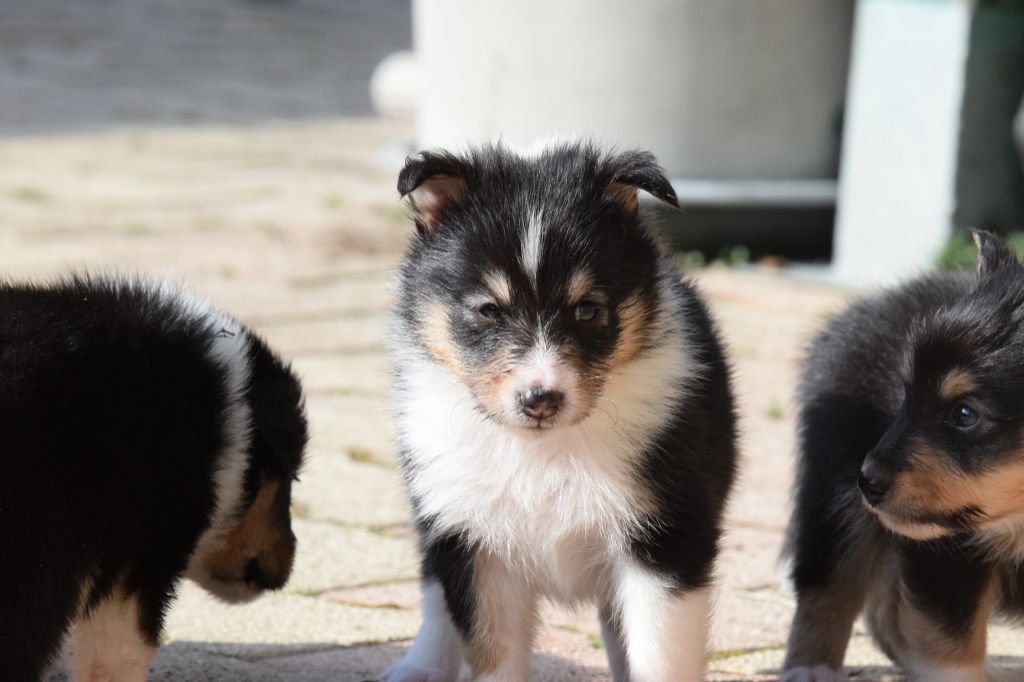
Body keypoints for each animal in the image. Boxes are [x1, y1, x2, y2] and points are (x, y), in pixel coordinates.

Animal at [385, 143, 737, 679]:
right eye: (489, 311)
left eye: (587, 309)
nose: (540, 399)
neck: (545, 448)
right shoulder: (475, 544)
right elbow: (492, 652)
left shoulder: (667, 536)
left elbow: (659, 653)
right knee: (434, 592)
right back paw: (418, 666)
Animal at [782, 231, 1024, 675]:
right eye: (906, 397)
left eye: (965, 414)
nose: (869, 481)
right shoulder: (948, 557)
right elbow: (953, 652)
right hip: (835, 491)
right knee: (829, 585)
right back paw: (811, 669)